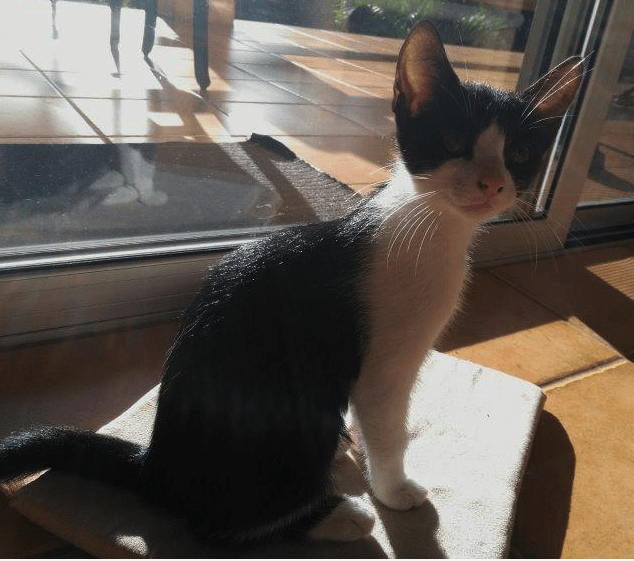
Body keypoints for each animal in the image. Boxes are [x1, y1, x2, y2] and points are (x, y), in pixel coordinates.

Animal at [0, 22, 582, 545]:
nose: (490, 184)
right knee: (215, 525)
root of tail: (156, 464)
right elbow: (389, 429)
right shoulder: (385, 366)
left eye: (520, 155)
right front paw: (393, 490)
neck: (432, 227)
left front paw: (363, 449)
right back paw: (336, 517)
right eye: (455, 140)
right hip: (289, 417)